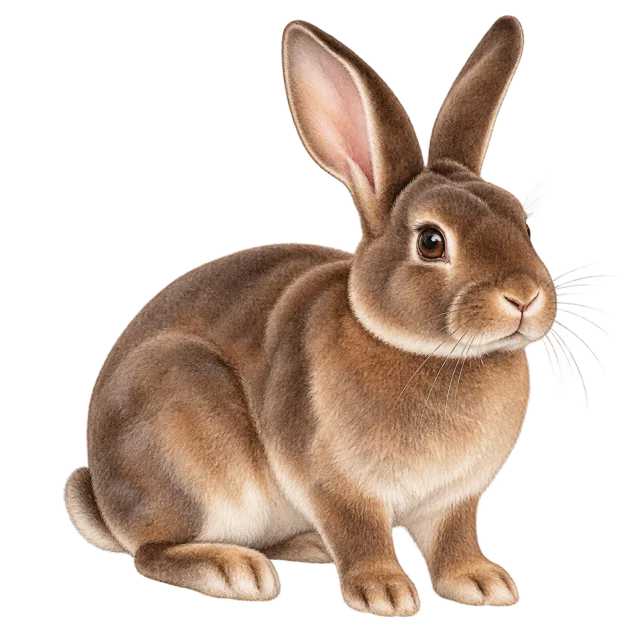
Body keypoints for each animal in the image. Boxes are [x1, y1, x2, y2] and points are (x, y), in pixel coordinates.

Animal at [63, 14, 558, 618]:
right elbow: (359, 532)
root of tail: (103, 496)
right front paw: (385, 593)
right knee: (152, 550)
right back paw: (236, 571)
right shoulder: (333, 483)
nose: (524, 295)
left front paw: (483, 585)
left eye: (520, 220)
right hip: (179, 429)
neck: (431, 352)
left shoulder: (457, 497)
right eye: (432, 242)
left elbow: (454, 537)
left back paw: (304, 548)